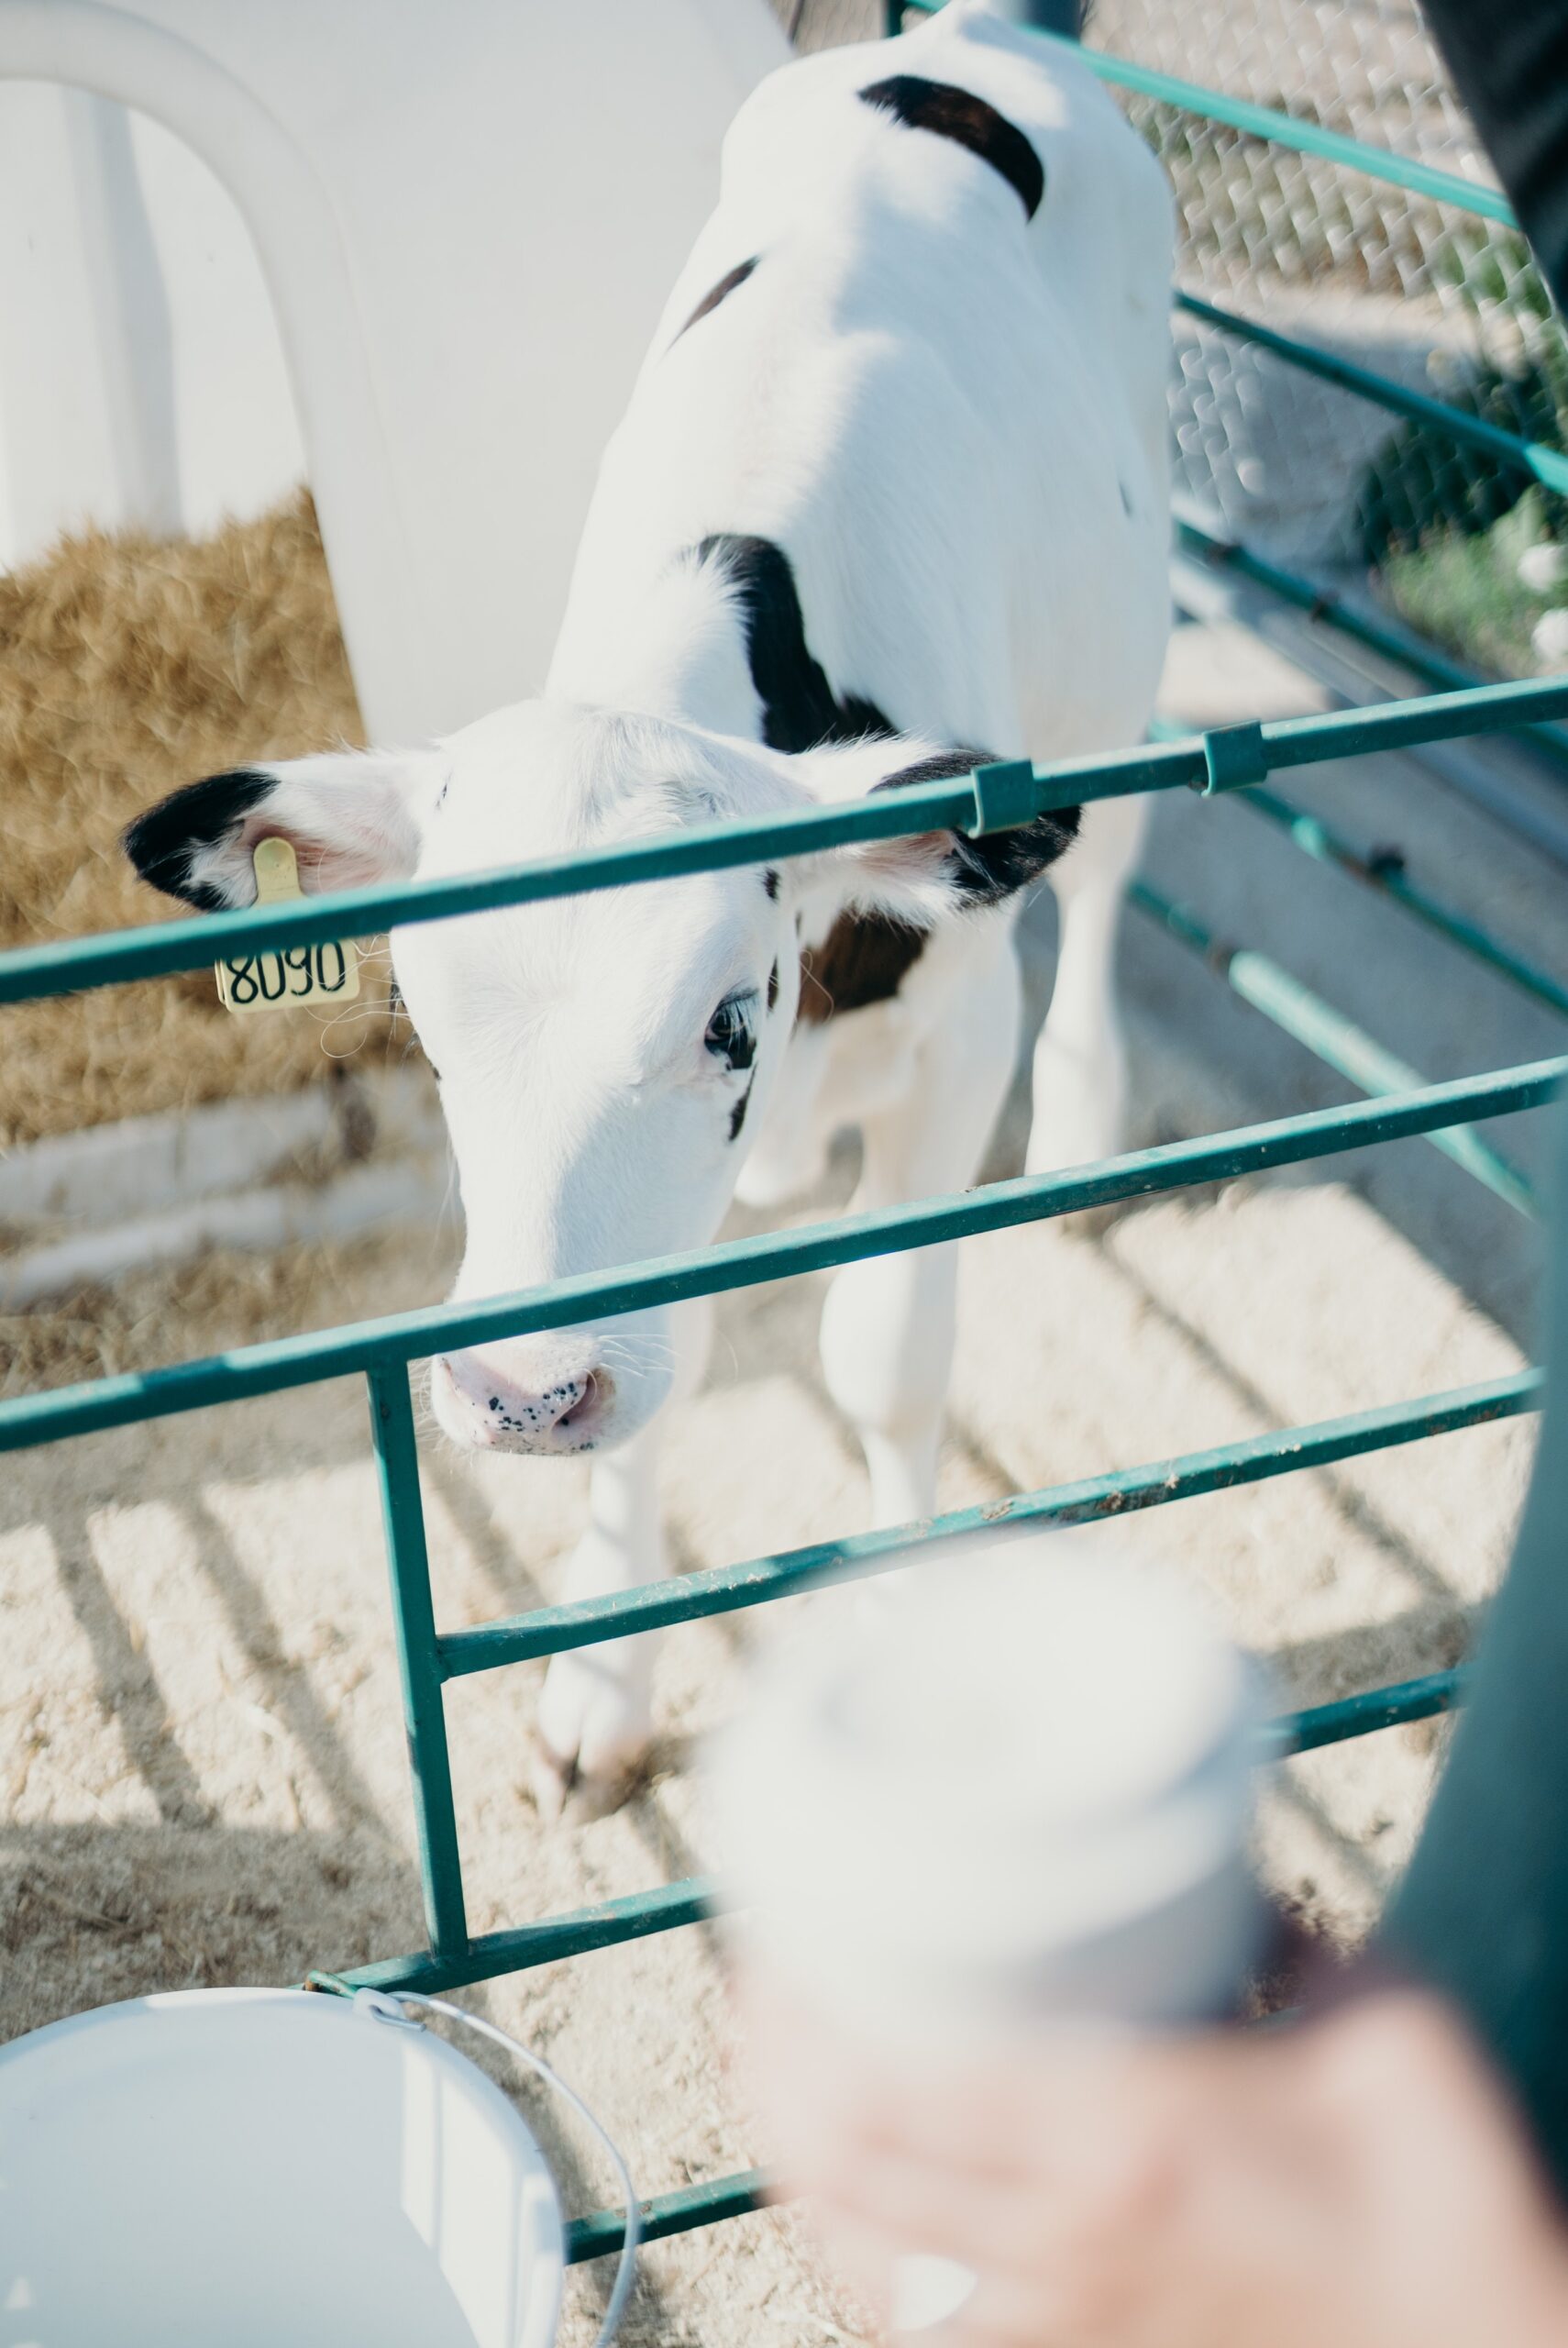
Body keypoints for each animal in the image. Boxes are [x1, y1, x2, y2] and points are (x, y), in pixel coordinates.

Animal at [124, 0, 1172, 1814]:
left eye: (728, 1020)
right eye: (425, 1033)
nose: (521, 1396)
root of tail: (979, 42)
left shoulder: (958, 1040)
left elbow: (884, 1355)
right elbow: (668, 1380)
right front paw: (603, 1684)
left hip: (1130, 633)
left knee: (1110, 872)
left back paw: (1092, 1128)